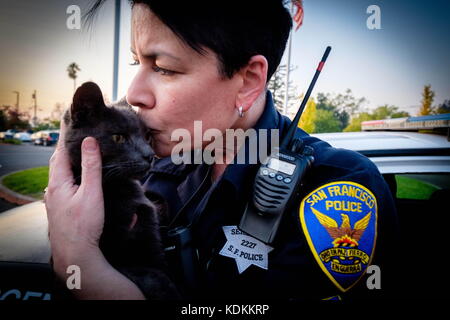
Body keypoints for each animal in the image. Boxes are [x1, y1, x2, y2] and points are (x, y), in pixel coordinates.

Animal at [61, 82, 178, 300]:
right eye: (118, 137)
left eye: (147, 137)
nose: (150, 155)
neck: (119, 190)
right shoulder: (116, 258)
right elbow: (149, 274)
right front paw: (166, 289)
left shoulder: (149, 234)